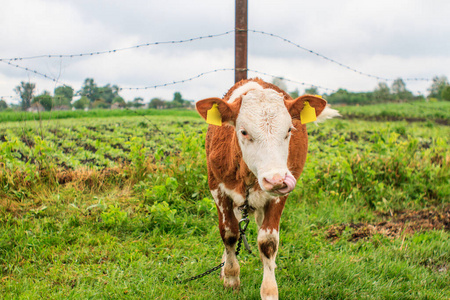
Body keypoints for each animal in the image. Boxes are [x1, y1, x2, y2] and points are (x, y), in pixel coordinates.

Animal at [195, 78, 340, 298]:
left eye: (289, 130)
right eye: (244, 131)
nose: (276, 179)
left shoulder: (279, 196)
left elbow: (268, 242)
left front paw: (269, 290)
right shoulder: (218, 190)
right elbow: (229, 234)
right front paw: (231, 277)